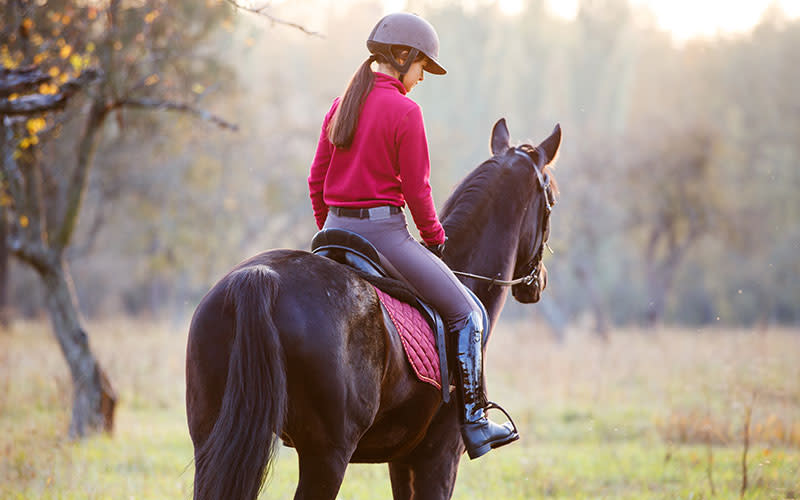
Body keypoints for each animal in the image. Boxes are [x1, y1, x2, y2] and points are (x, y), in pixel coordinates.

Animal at [188, 119, 564, 498]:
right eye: (552, 199)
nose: (539, 283)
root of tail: (261, 277)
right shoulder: (439, 457)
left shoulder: (402, 460)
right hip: (327, 454)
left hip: (212, 436)